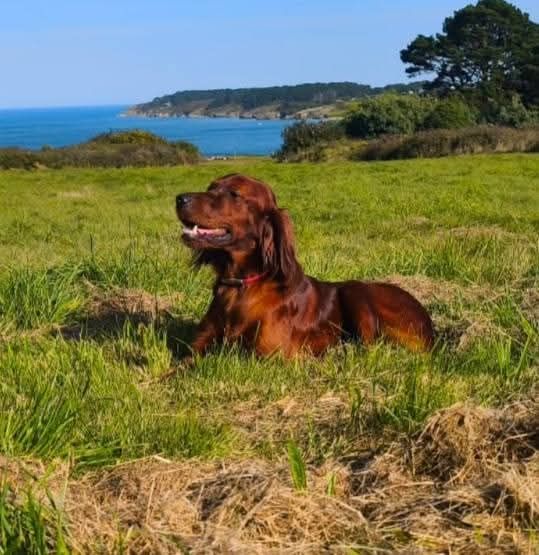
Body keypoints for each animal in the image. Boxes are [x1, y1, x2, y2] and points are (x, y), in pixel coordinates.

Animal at [175, 174, 434, 362]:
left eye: (234, 194)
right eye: (211, 187)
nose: (180, 198)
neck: (240, 285)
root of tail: (430, 325)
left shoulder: (269, 356)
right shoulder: (198, 348)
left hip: (354, 290)